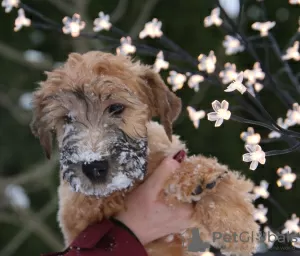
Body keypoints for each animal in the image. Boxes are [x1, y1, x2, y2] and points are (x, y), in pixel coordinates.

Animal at [31, 51, 260, 256]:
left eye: (116, 108)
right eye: (67, 118)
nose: (93, 167)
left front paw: (237, 226)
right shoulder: (77, 213)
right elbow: (101, 201)